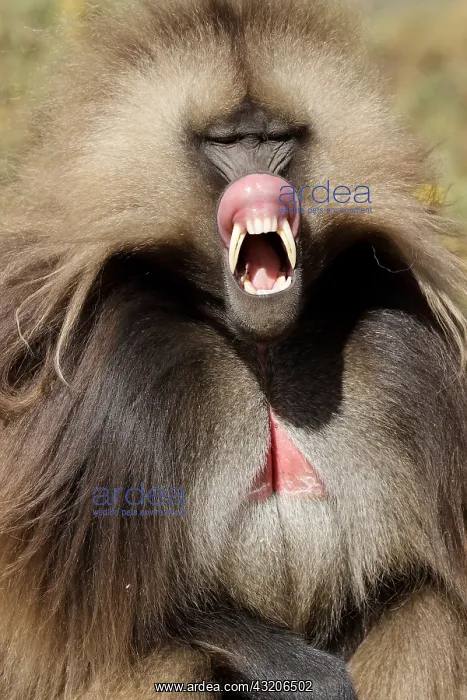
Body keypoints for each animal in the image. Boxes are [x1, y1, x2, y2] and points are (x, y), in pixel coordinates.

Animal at [0, 0, 466, 698]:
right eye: (228, 145)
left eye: (274, 139)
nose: (258, 181)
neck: (264, 353)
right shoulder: (96, 399)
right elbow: (57, 645)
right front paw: (300, 670)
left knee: (429, 614)